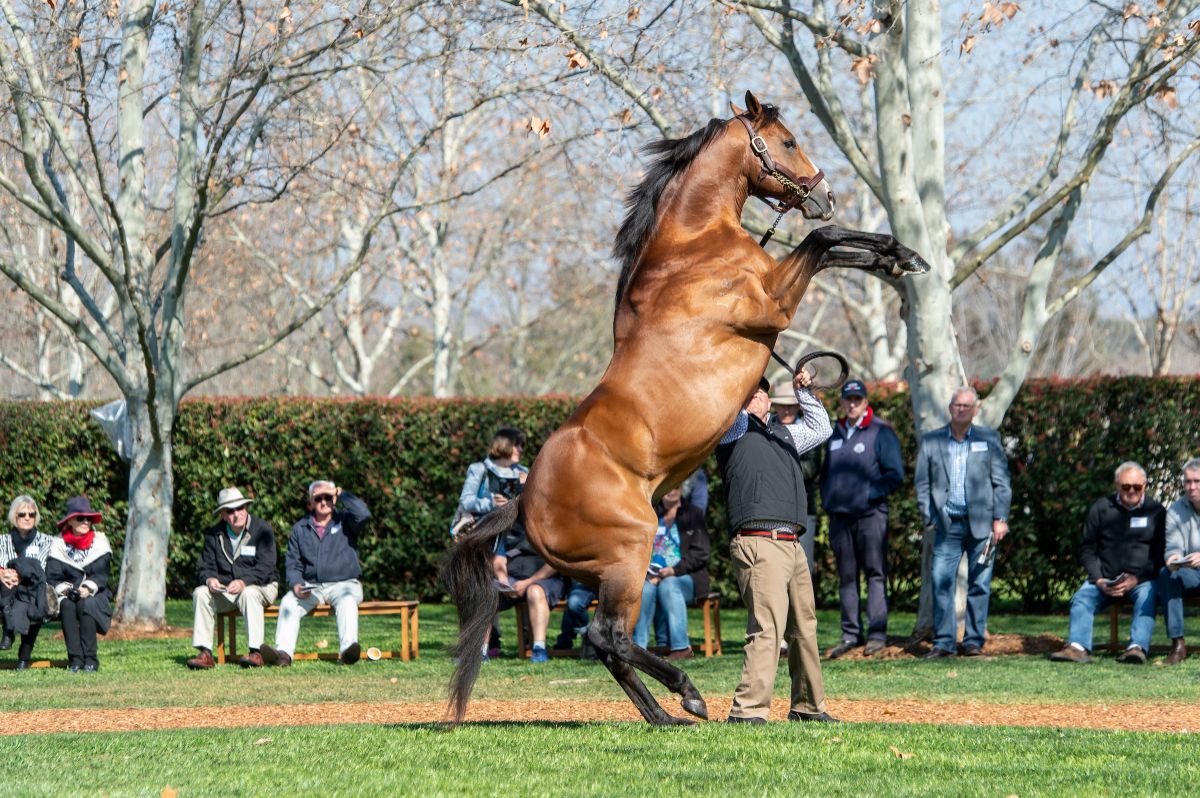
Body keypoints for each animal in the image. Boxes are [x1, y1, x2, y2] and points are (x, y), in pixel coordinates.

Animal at [444, 91, 929, 726]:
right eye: (790, 141)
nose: (822, 195)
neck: (692, 249)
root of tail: (522, 500)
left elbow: (832, 246)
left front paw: (902, 256)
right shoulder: (772, 302)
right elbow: (822, 244)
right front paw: (898, 252)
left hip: (612, 571)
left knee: (612, 645)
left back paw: (663, 715)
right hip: (630, 555)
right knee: (606, 636)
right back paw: (689, 694)